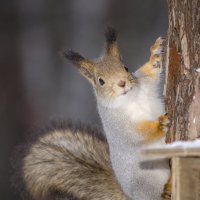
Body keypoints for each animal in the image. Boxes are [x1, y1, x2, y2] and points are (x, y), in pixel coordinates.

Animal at [16, 27, 171, 200]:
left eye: (125, 68)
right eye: (100, 81)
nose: (122, 83)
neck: (131, 97)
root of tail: (128, 196)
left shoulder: (142, 84)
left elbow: (150, 72)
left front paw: (156, 53)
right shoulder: (116, 124)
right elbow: (135, 134)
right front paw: (160, 124)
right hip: (146, 181)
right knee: (155, 194)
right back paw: (166, 191)